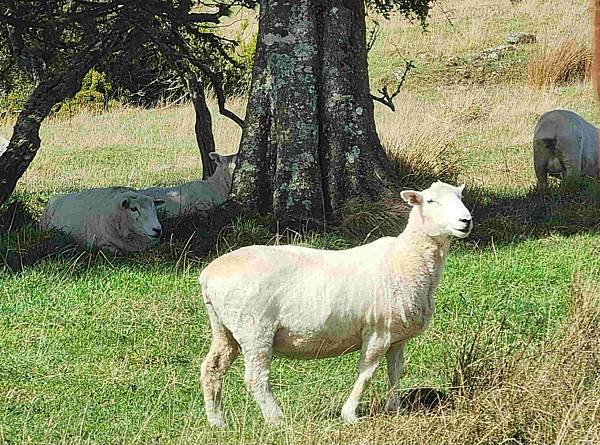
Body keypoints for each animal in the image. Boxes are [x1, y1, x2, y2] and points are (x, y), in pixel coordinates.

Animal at [197, 181, 474, 426]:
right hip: (254, 327)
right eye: (431, 201)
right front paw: (350, 415)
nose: (466, 221)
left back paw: (217, 422)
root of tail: (209, 274)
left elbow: (395, 373)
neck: (405, 258)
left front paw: (395, 410)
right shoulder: (378, 331)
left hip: (224, 328)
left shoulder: (397, 336)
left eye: (461, 197)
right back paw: (277, 420)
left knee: (212, 369)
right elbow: (366, 373)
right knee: (256, 377)